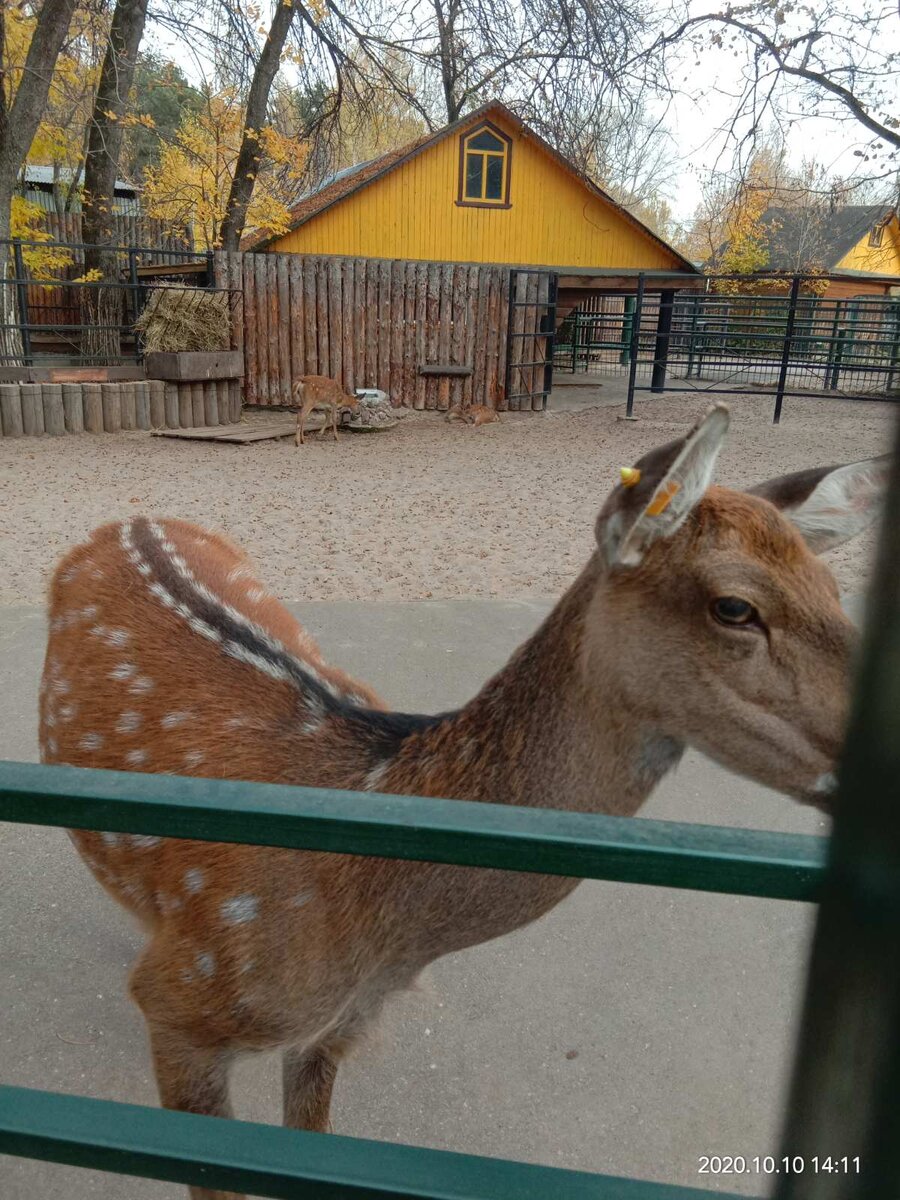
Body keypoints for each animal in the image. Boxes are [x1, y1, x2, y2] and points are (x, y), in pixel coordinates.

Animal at [40, 405, 888, 1200]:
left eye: (834, 589)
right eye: (735, 607)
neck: (378, 928)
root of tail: (127, 518)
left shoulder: (339, 1028)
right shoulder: (186, 1012)